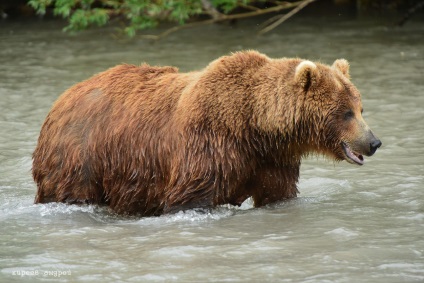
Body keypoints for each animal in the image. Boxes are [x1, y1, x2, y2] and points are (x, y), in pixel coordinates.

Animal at [33, 51, 382, 216]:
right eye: (345, 112)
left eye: (360, 107)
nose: (374, 141)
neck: (255, 127)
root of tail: (62, 98)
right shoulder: (208, 144)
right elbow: (189, 198)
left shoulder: (272, 160)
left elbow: (277, 194)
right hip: (80, 155)